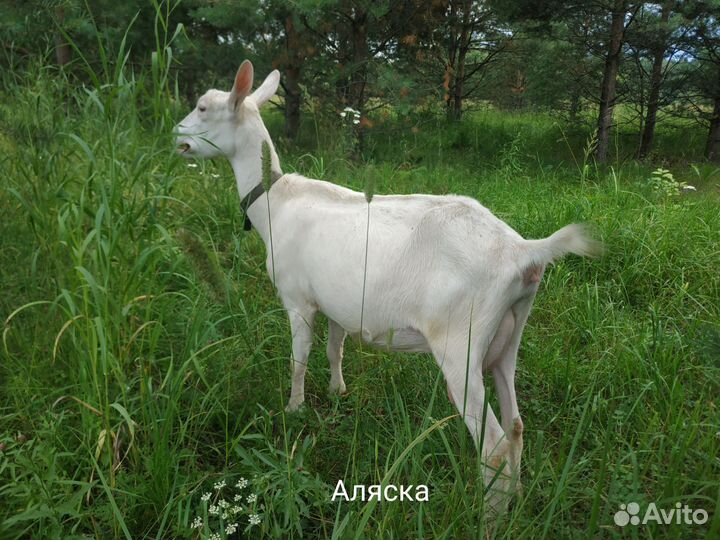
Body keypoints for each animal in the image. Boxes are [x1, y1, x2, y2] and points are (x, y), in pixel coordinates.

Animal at [174, 60, 601, 508]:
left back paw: (487, 514)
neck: (275, 200)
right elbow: (335, 348)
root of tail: (522, 252)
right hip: (508, 336)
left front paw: (294, 410)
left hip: (461, 344)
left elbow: (298, 359)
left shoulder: (298, 300)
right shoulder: (337, 303)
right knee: (516, 426)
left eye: (203, 107)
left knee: (494, 446)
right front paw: (337, 391)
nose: (177, 136)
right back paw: (515, 501)